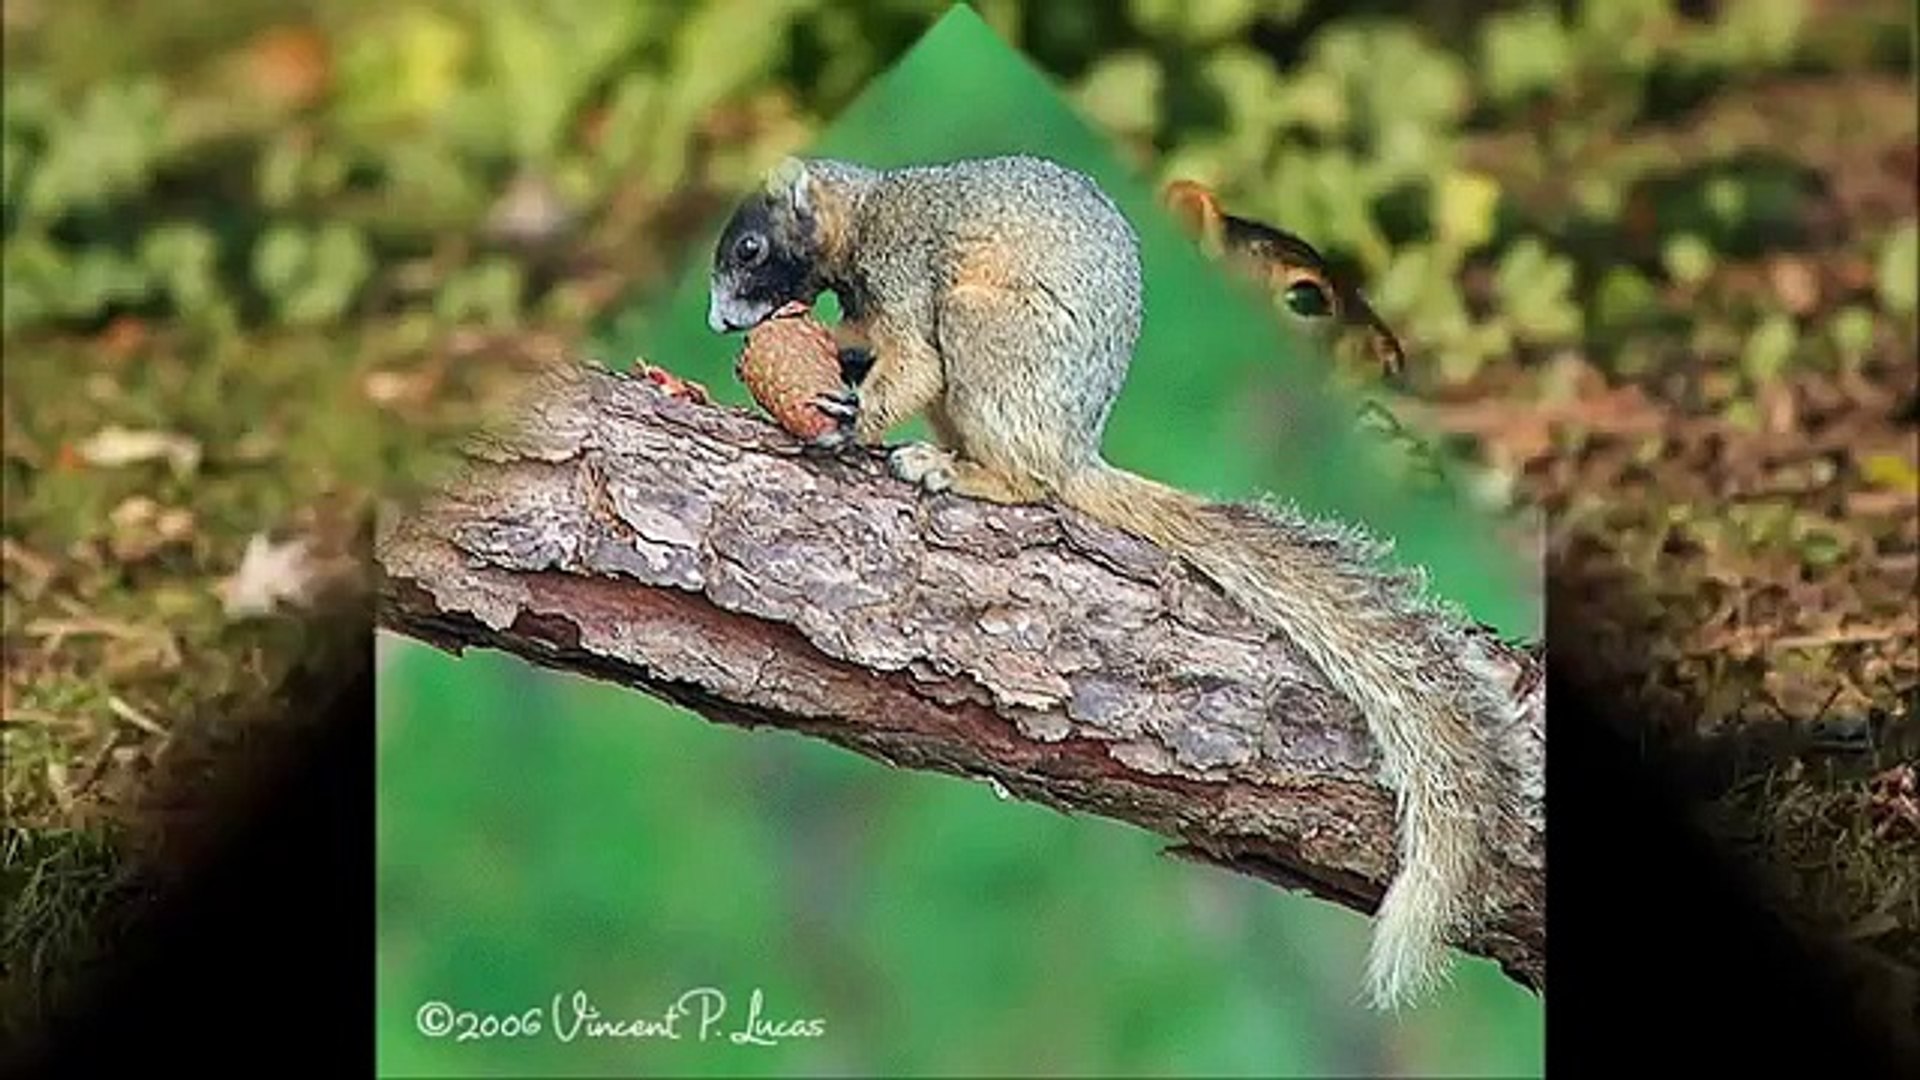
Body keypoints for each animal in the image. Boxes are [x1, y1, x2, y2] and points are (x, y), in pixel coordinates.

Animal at [702, 153, 1512, 1006]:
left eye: (752, 249)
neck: (862, 211)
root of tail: (1073, 452)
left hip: (985, 328)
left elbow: (913, 363)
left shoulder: (905, 272)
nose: (719, 322)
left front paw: (849, 417)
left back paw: (953, 470)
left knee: (1025, 477)